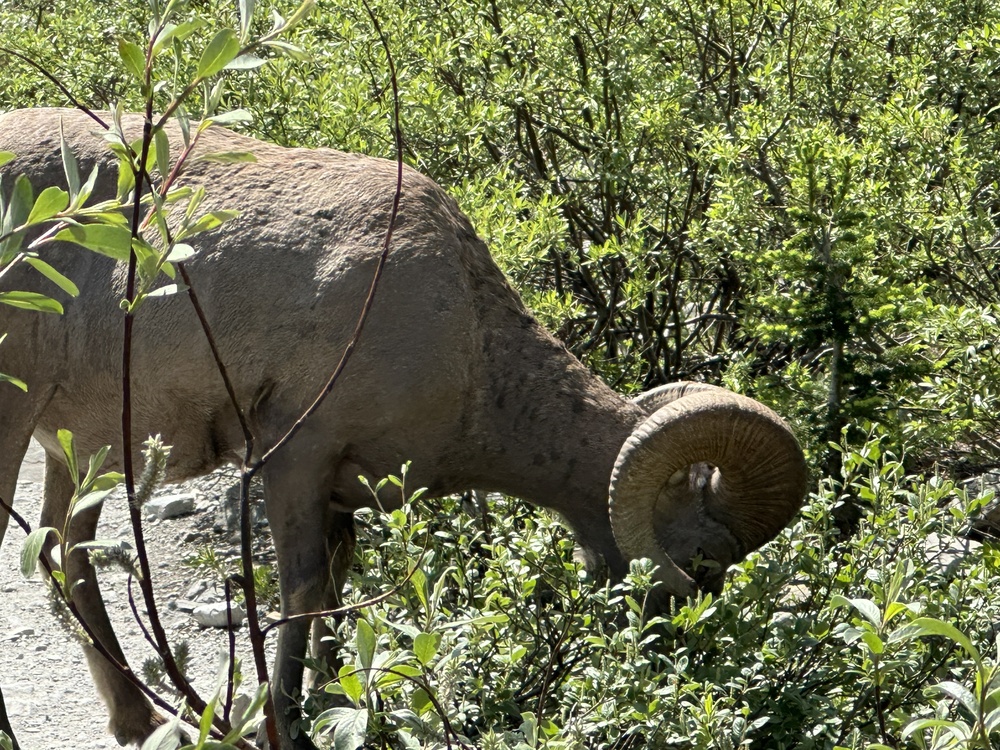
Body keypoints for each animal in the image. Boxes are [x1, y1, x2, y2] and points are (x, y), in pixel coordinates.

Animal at [0, 108, 808, 749]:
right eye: (704, 561)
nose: (677, 663)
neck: (468, 342)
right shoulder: (296, 458)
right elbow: (300, 588)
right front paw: (285, 726)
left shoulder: (339, 492)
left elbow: (333, 589)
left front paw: (330, 708)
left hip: (84, 452)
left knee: (65, 554)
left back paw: (139, 723)